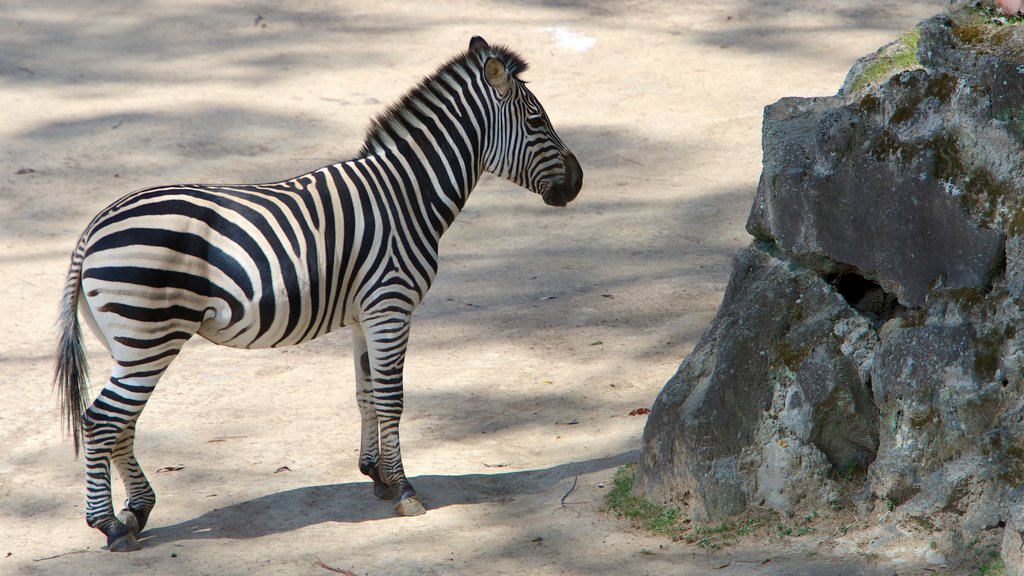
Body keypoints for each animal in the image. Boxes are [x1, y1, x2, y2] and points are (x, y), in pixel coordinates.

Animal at [56, 34, 581, 545]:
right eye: (537, 120)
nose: (577, 183)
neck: (407, 195)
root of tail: (93, 227)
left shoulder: (365, 314)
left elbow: (366, 393)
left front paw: (377, 475)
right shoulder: (391, 306)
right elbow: (392, 397)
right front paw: (404, 489)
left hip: (127, 341)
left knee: (123, 420)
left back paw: (138, 511)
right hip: (150, 335)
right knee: (101, 420)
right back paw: (108, 525)